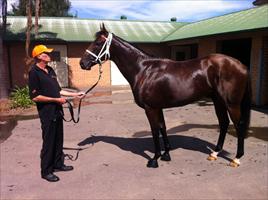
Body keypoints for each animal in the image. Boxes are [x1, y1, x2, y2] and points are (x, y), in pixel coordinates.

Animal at [79, 24, 251, 169]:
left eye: (97, 43)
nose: (82, 63)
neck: (144, 70)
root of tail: (241, 65)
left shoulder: (150, 108)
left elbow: (155, 130)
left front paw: (154, 159)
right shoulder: (158, 107)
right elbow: (163, 127)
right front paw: (166, 154)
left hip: (231, 104)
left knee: (238, 125)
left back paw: (236, 158)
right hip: (218, 101)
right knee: (224, 123)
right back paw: (214, 153)